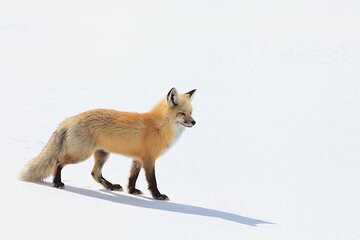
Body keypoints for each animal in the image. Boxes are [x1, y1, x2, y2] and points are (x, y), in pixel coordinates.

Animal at [20, 87, 197, 200]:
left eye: (191, 113)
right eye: (182, 114)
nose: (194, 122)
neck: (159, 127)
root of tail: (71, 118)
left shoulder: (137, 159)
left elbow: (132, 178)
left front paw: (132, 191)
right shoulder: (148, 159)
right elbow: (152, 181)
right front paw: (158, 196)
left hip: (102, 154)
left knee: (95, 173)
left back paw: (111, 186)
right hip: (80, 154)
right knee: (58, 162)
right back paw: (57, 183)